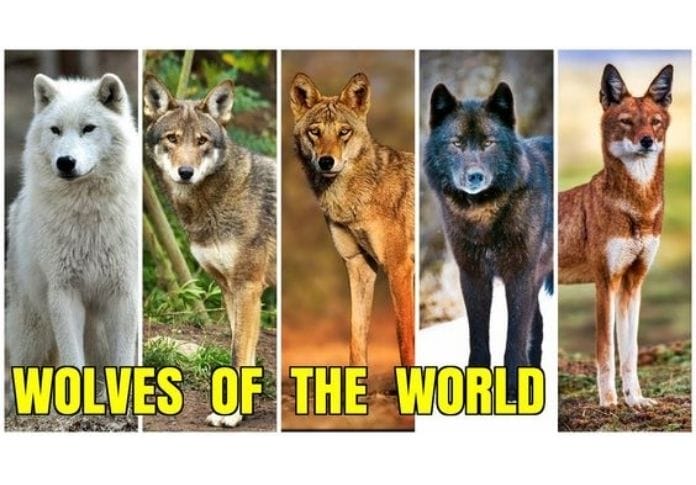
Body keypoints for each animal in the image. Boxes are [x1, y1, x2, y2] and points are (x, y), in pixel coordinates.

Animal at [5, 73, 140, 407]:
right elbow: (71, 358)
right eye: (55, 130)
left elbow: (122, 359)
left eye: (88, 128)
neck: (87, 219)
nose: (65, 162)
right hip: (33, 334)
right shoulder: (64, 293)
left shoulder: (123, 294)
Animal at [144, 75, 276, 427]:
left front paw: (230, 415)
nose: (185, 172)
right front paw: (242, 411)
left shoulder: (247, 288)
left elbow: (238, 353)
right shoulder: (230, 290)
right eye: (173, 139)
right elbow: (244, 352)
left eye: (202, 140)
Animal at [289, 72, 415, 367]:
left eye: (343, 132)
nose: (326, 162)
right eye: (315, 132)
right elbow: (356, 341)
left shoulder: (399, 266)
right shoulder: (359, 265)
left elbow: (405, 341)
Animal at [424, 82, 553, 400]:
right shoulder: (473, 276)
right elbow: (478, 337)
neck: (483, 217)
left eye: (488, 143)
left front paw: (513, 390)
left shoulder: (519, 275)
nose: (475, 176)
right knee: (538, 325)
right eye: (457, 143)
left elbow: (513, 337)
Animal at [559, 64, 673, 408]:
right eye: (626, 121)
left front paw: (636, 401)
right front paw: (609, 402)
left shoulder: (632, 283)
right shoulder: (605, 282)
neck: (638, 210)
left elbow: (631, 352)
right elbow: (606, 351)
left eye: (655, 121)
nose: (647, 141)